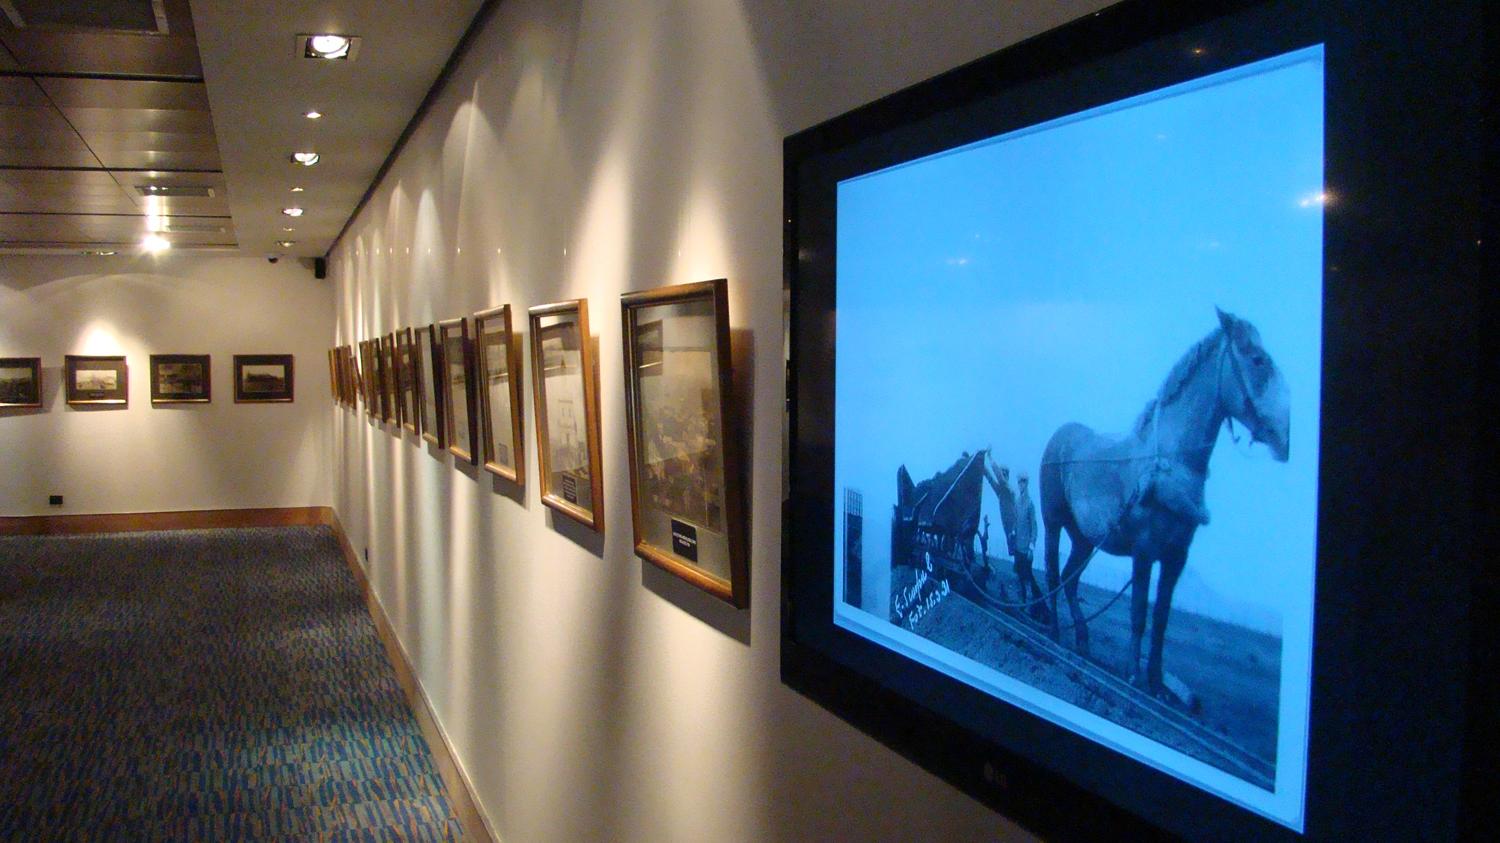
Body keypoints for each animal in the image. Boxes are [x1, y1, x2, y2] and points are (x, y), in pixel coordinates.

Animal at [1038, 307, 1296, 696]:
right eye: (1257, 359)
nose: (1284, 439)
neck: (1172, 464)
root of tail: (1060, 436)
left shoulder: (1176, 556)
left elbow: (1161, 618)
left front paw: (1157, 682)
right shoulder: (1144, 551)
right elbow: (1138, 614)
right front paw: (1133, 675)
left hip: (1084, 538)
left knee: (1070, 578)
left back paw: (1082, 640)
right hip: (1054, 523)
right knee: (1053, 571)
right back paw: (1054, 629)